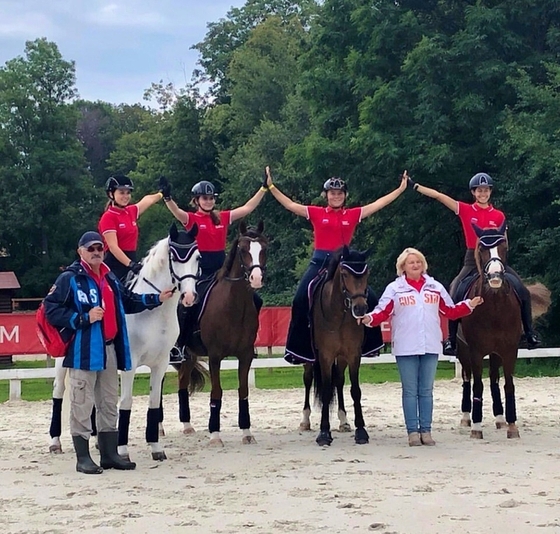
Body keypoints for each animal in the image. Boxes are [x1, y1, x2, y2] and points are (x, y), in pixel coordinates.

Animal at [178, 222, 268, 448]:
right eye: (243, 250)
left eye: (264, 249)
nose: (256, 278)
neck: (233, 305)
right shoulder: (215, 356)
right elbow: (216, 392)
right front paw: (215, 435)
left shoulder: (245, 355)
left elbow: (243, 391)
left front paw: (246, 432)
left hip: (190, 355)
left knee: (182, 381)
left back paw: (187, 426)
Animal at [312, 247, 370, 448]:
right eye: (344, 274)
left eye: (367, 273)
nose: (360, 309)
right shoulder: (325, 356)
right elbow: (326, 391)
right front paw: (324, 433)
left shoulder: (353, 354)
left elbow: (355, 390)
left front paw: (361, 431)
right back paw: (305, 421)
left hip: (342, 357)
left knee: (338, 380)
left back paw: (344, 421)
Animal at [460, 222, 552, 440]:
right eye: (482, 249)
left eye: (503, 247)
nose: (495, 277)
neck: (494, 306)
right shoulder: (475, 351)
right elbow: (477, 385)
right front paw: (476, 428)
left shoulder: (509, 350)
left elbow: (508, 384)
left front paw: (512, 426)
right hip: (463, 351)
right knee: (467, 379)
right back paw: (467, 418)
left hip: (495, 353)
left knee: (494, 379)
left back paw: (500, 419)